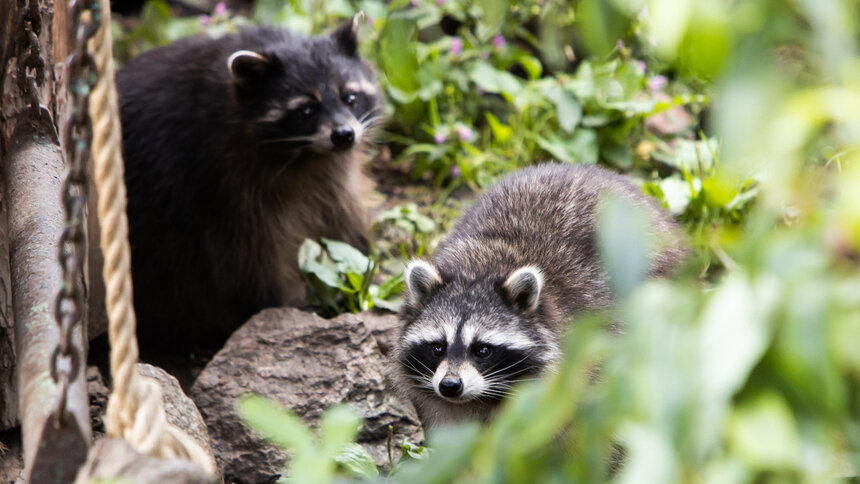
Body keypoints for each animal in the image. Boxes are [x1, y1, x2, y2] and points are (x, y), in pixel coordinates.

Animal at [116, 17, 384, 354]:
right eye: (306, 111)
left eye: (350, 97)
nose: (344, 135)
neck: (305, 154)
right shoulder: (222, 177)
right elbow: (250, 250)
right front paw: (269, 304)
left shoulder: (331, 168)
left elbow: (342, 209)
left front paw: (360, 271)